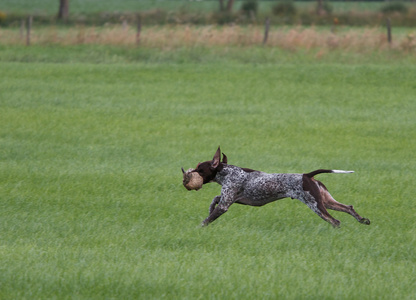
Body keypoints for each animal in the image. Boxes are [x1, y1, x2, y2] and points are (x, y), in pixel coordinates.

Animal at [182, 147, 370, 227]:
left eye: (199, 168)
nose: (186, 176)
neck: (228, 172)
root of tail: (307, 175)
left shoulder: (225, 204)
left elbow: (208, 219)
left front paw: (199, 227)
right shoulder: (230, 199)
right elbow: (214, 200)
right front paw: (209, 208)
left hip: (316, 205)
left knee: (335, 221)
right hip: (326, 201)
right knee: (348, 207)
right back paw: (362, 220)